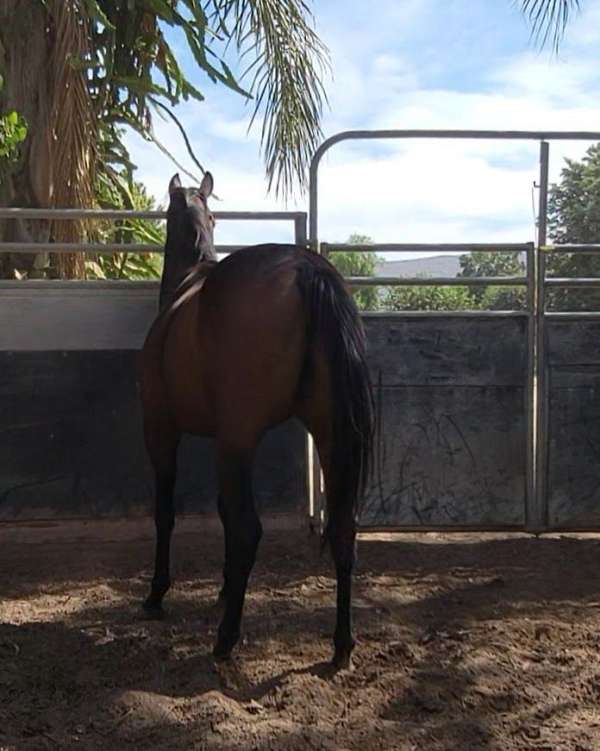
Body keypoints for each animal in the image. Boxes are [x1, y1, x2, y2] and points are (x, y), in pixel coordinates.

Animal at [140, 173, 372, 668]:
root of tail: (307, 271)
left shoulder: (163, 429)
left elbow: (167, 512)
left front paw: (157, 594)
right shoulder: (222, 439)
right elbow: (222, 512)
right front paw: (225, 592)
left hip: (238, 439)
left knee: (248, 530)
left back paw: (226, 640)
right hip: (326, 436)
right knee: (343, 528)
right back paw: (341, 645)